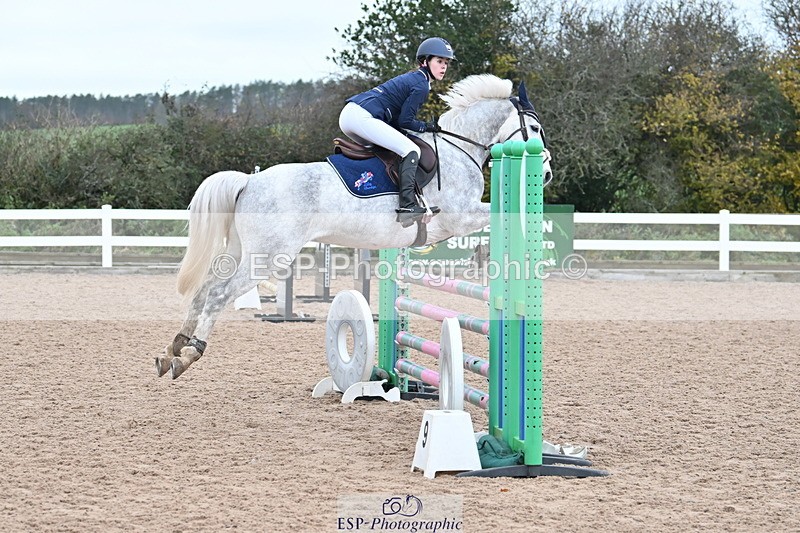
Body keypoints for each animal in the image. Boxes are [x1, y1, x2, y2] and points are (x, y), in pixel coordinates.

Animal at [157, 74, 552, 379]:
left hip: (245, 250)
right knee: (219, 294)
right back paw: (190, 355)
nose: (546, 174)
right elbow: (496, 217)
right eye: (534, 128)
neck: (459, 149)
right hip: (269, 256)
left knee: (206, 287)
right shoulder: (461, 215)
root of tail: (249, 182)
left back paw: (174, 349)